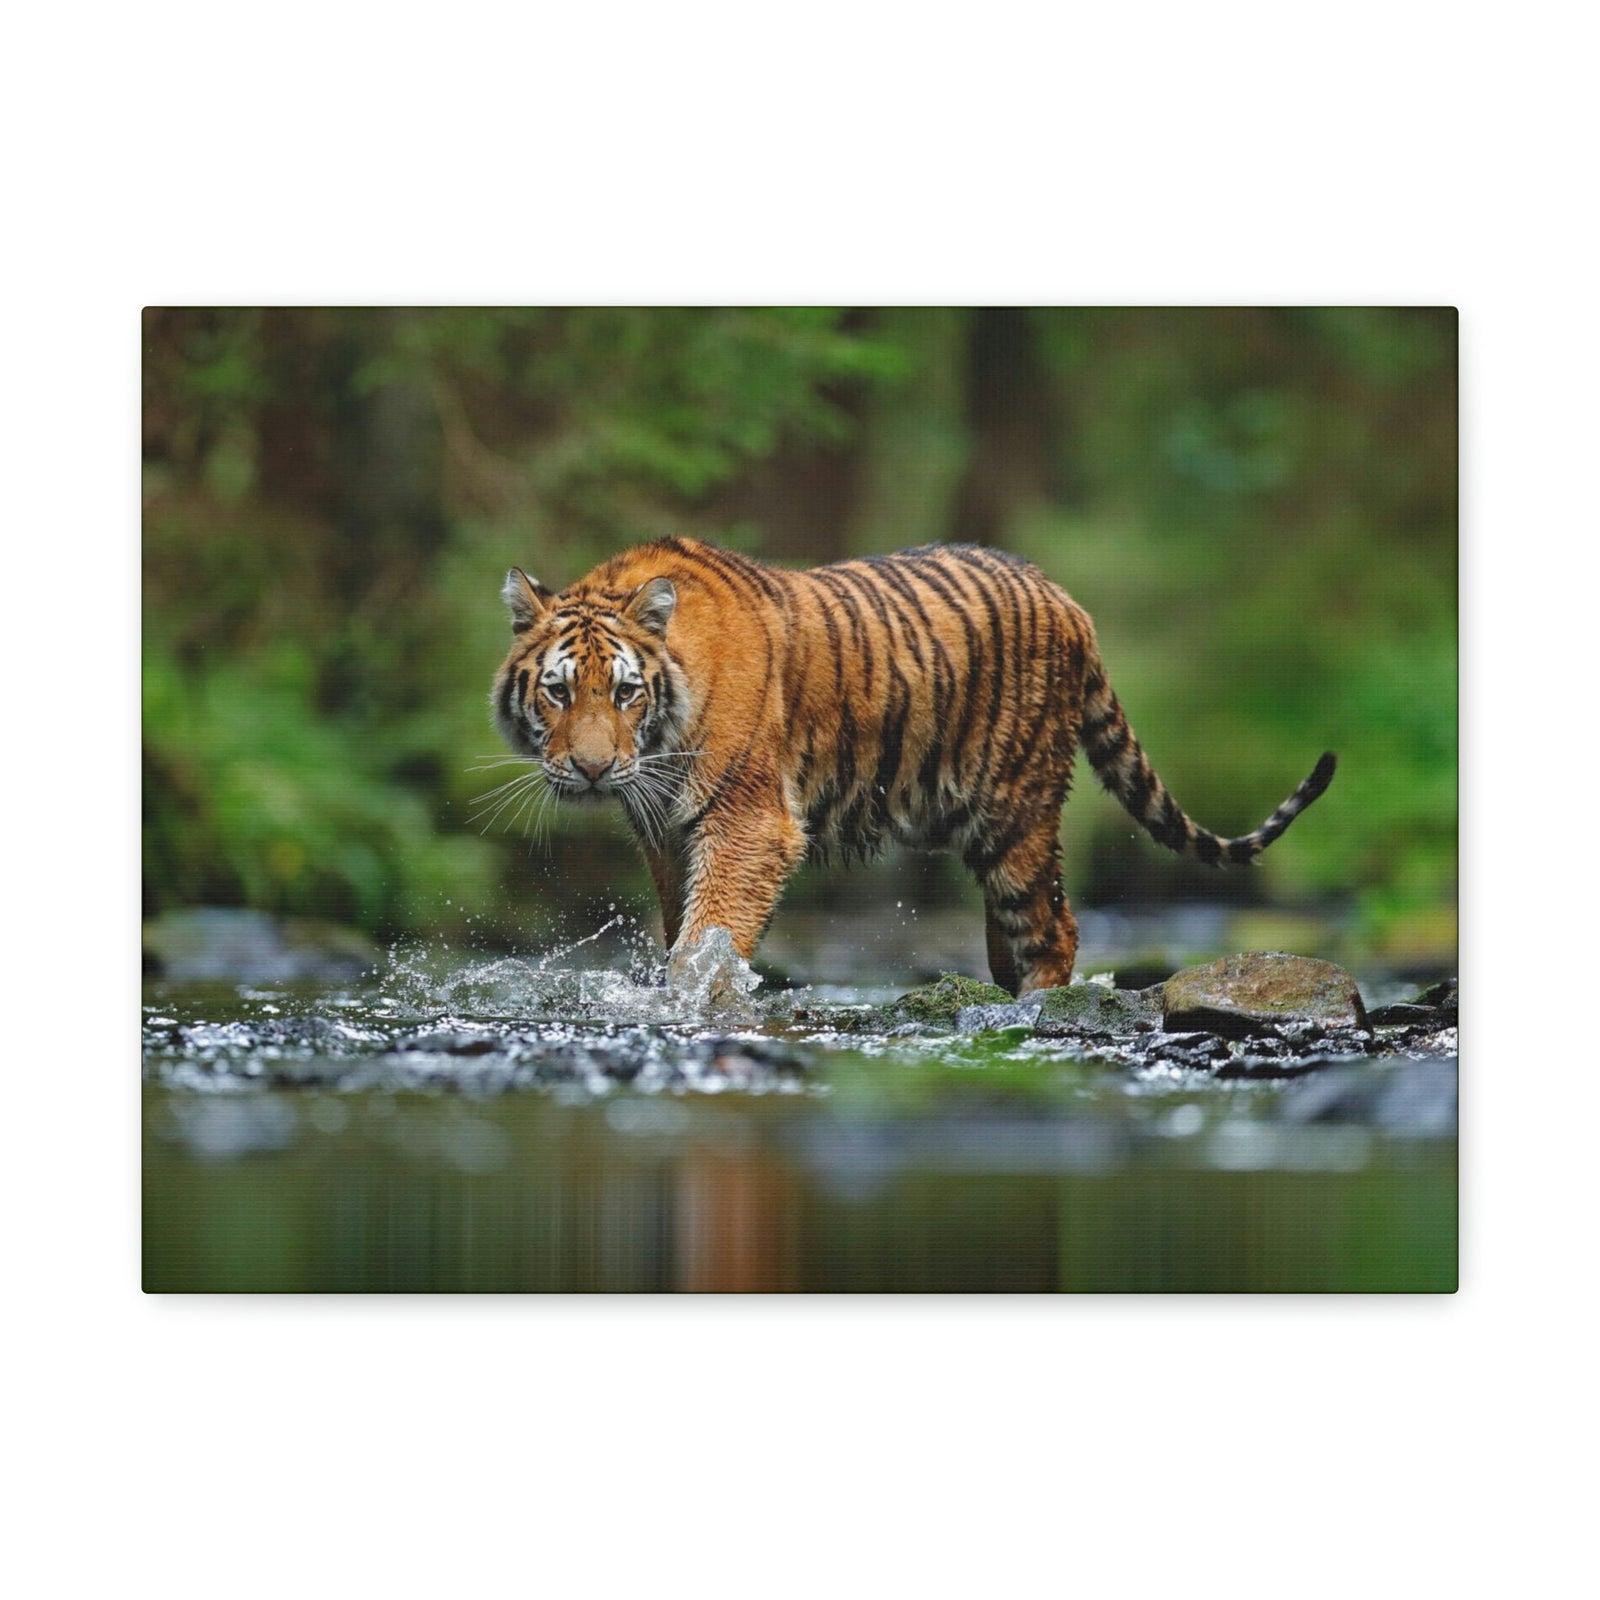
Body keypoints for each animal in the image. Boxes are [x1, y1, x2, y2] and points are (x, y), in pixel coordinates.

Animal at [491, 536, 1335, 996]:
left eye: (625, 692)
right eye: (559, 691)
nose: (593, 770)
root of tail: (1068, 600)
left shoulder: (748, 823)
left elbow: (709, 937)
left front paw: (695, 1000)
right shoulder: (667, 834)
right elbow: (682, 930)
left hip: (1016, 812)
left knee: (1054, 926)